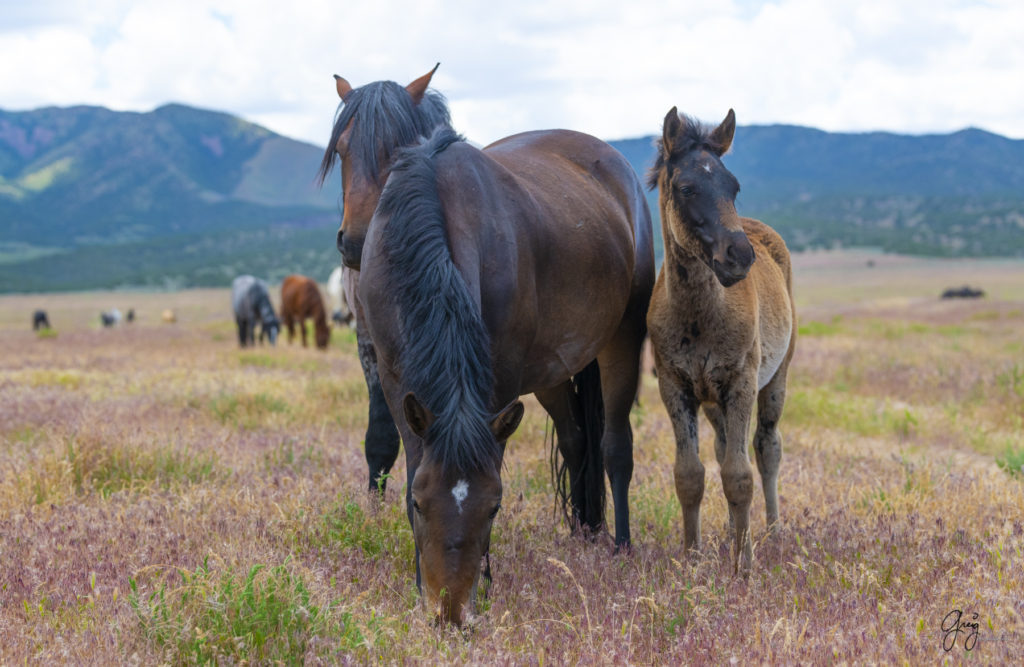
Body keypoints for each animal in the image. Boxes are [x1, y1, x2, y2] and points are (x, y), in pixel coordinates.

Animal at [356, 126, 651, 627]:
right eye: (417, 502)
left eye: (494, 506)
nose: (450, 613)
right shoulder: (396, 381)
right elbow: (412, 458)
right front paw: (417, 583)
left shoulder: (502, 379)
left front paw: (486, 582)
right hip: (553, 372)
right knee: (576, 442)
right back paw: (583, 533)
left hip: (622, 338)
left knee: (615, 448)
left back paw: (621, 547)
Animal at [647, 108, 798, 573]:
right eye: (686, 187)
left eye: (734, 186)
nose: (739, 256)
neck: (699, 316)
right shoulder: (675, 386)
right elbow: (690, 474)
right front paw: (692, 558)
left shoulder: (741, 382)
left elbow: (740, 475)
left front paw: (743, 565)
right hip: (713, 400)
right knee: (723, 447)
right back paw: (733, 530)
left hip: (775, 378)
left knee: (765, 448)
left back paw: (772, 530)